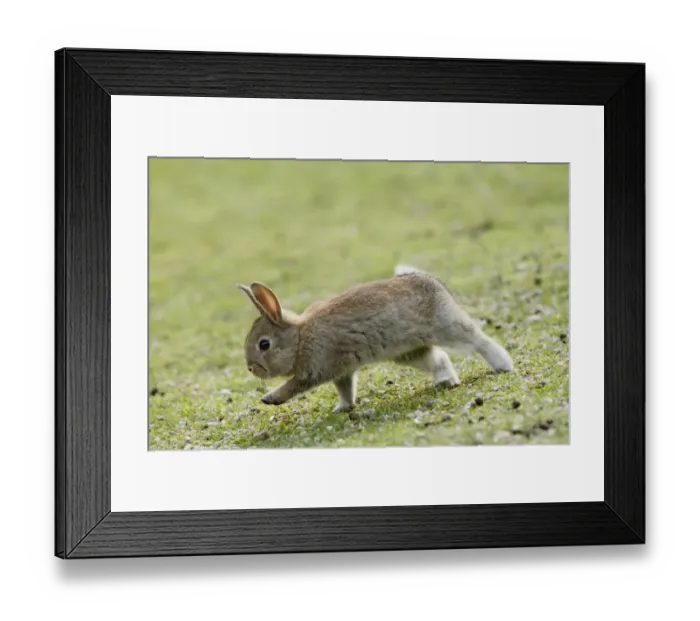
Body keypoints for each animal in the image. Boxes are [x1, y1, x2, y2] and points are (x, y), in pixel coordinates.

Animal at [237, 265, 514, 413]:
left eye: (264, 344)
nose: (251, 368)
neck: (300, 339)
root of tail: (426, 279)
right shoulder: (341, 371)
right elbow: (346, 390)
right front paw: (343, 408)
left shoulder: (315, 370)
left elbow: (293, 386)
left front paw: (270, 398)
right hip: (408, 352)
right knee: (439, 358)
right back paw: (446, 382)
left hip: (446, 327)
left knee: (478, 340)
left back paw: (503, 365)